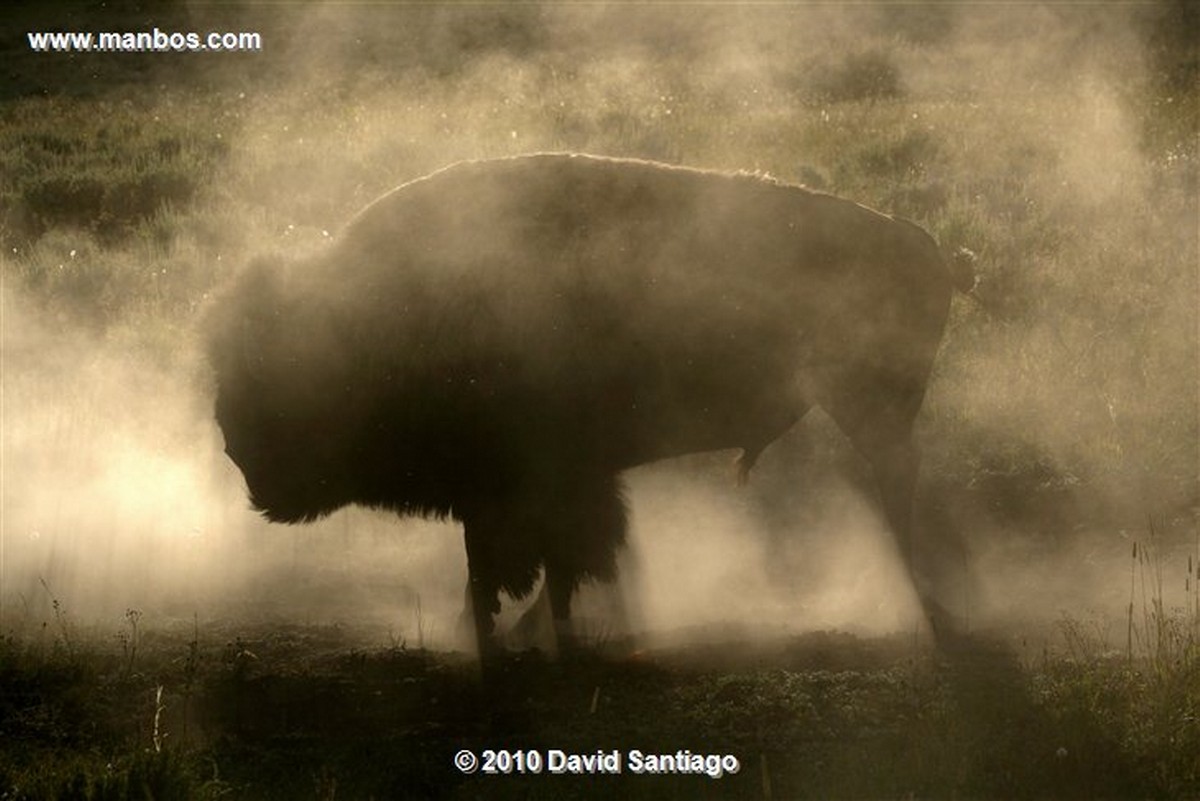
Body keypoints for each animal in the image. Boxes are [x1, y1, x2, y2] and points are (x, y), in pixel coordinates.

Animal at [204, 153, 974, 666]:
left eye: (279, 374)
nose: (243, 459)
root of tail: (928, 245)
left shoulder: (519, 486)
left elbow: (522, 563)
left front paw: (508, 639)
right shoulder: (558, 482)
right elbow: (563, 558)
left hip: (869, 406)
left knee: (896, 487)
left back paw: (922, 609)